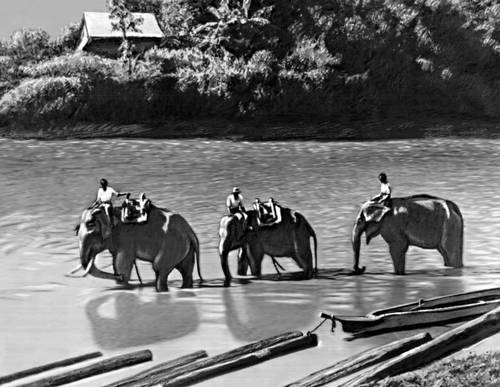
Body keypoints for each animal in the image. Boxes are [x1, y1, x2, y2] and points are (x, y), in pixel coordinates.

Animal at [73, 205, 201, 292]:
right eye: (76, 230)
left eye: (90, 225)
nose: (118, 278)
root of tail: (190, 231)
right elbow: (116, 264)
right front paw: (120, 281)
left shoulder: (125, 239)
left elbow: (121, 266)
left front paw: (123, 283)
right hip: (184, 247)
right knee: (186, 270)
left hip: (172, 244)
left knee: (159, 268)